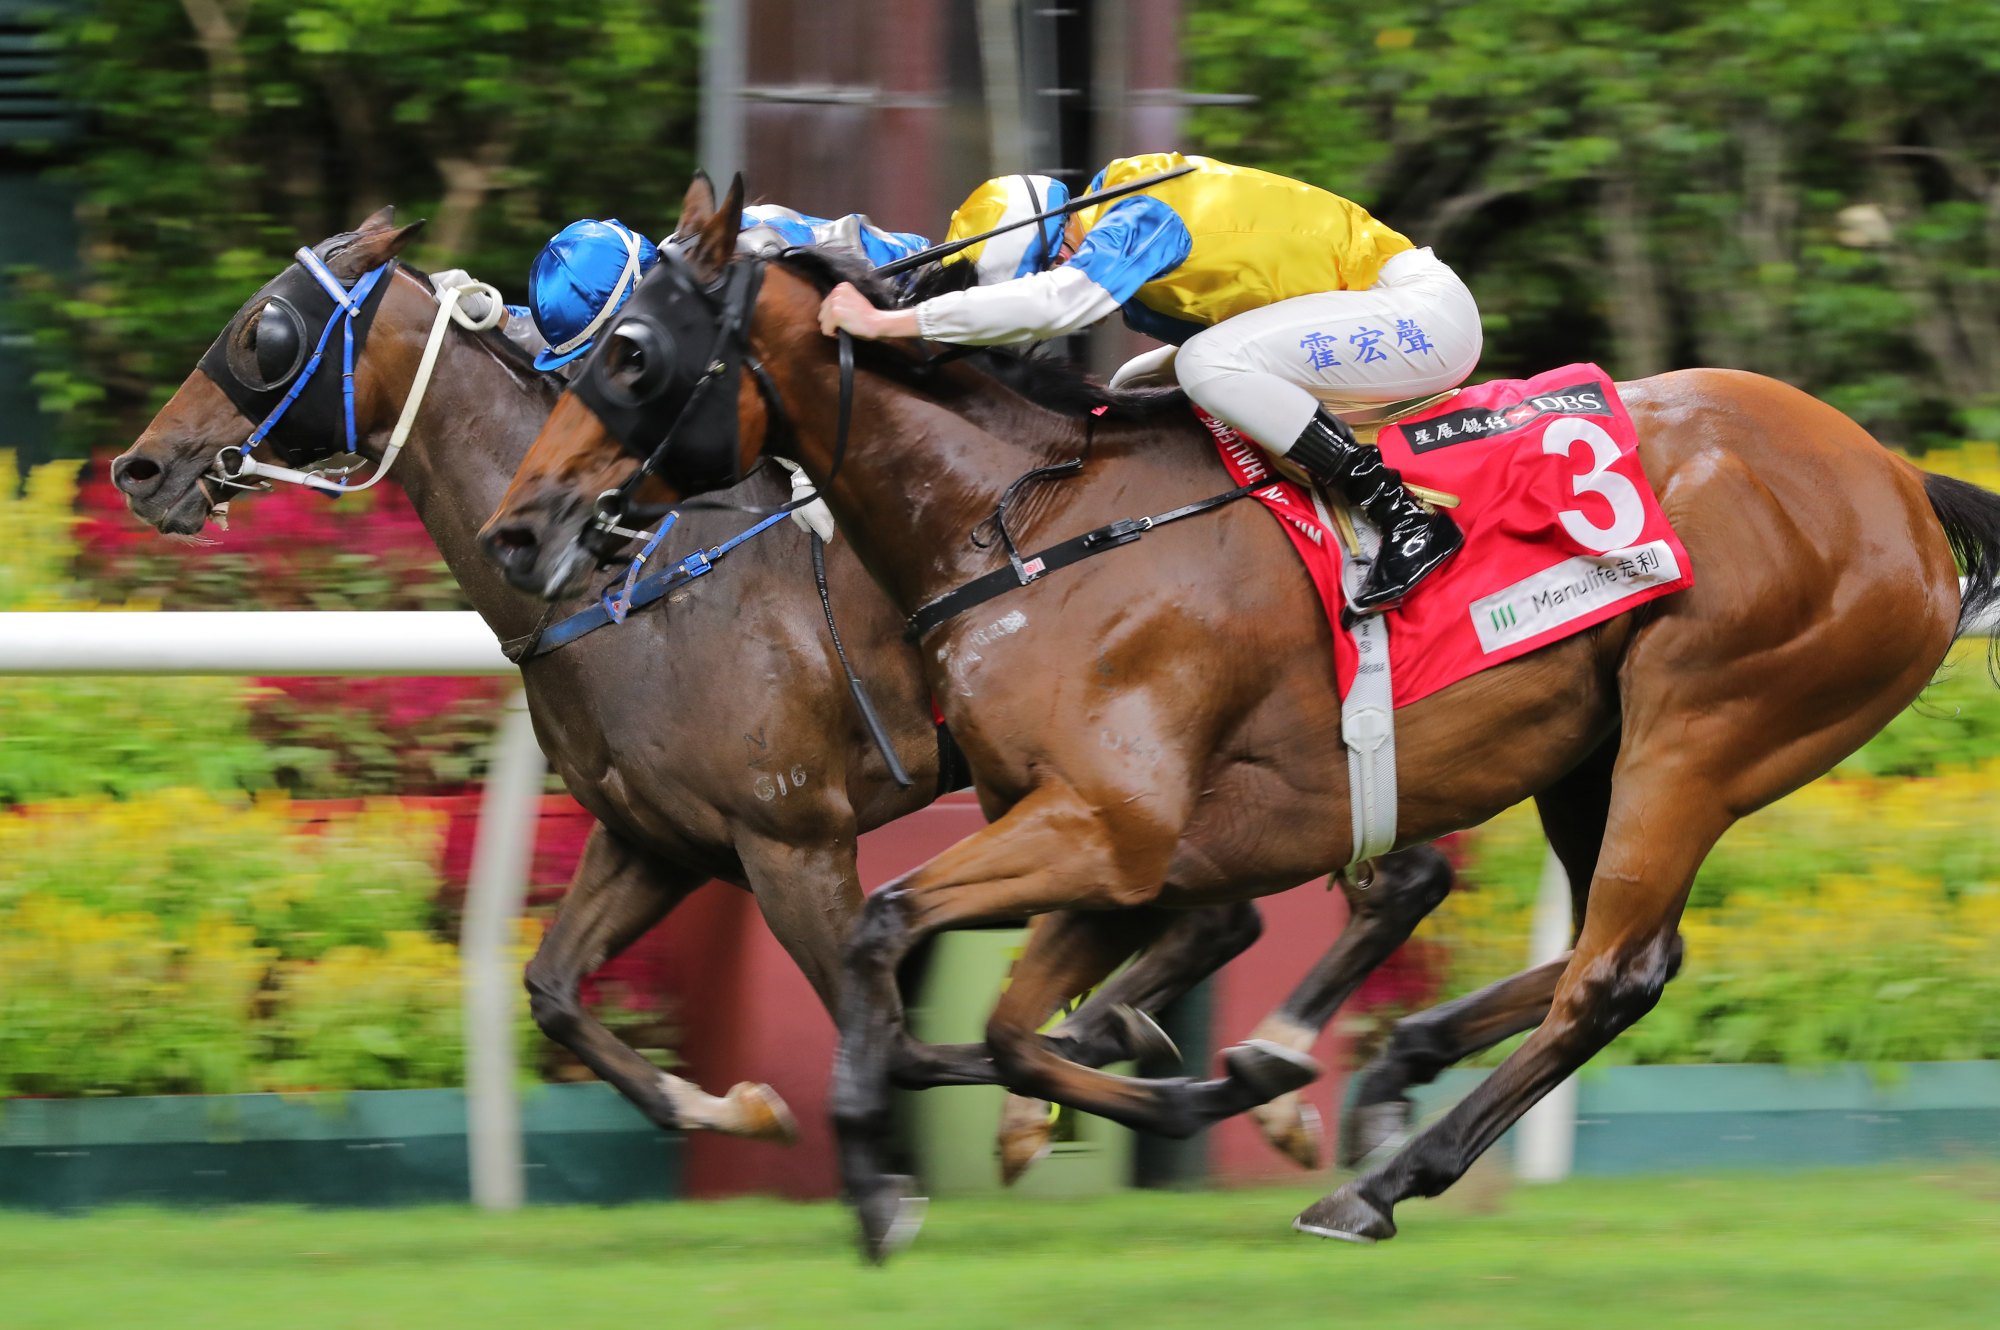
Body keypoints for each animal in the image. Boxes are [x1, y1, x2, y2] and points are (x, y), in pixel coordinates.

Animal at [105, 205, 1312, 1160]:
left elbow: (903, 1043)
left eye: (264, 327)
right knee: (1218, 919)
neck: (628, 583)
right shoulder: (656, 837)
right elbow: (551, 990)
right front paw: (731, 1107)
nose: (141, 466)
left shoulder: (793, 841)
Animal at [484, 182, 2000, 1264]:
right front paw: (1175, 1096)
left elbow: (884, 929)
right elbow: (1022, 1022)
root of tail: (1896, 479)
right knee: (1626, 953)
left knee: (1611, 973)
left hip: (1705, 726)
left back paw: (1375, 1180)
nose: (519, 528)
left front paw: (877, 1174)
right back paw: (1384, 1079)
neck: (1020, 522)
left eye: (629, 352)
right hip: (1598, 751)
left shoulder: (1108, 825)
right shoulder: (1101, 839)